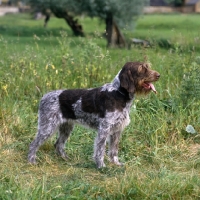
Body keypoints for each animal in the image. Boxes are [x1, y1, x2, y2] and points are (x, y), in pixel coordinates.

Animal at [27, 61, 159, 168]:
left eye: (147, 66)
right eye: (141, 69)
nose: (158, 75)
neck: (118, 93)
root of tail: (44, 97)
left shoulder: (117, 130)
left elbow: (114, 150)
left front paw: (116, 163)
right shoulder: (104, 129)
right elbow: (100, 150)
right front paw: (101, 166)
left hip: (66, 127)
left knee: (58, 144)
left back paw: (65, 159)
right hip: (48, 127)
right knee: (33, 144)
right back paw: (31, 161)